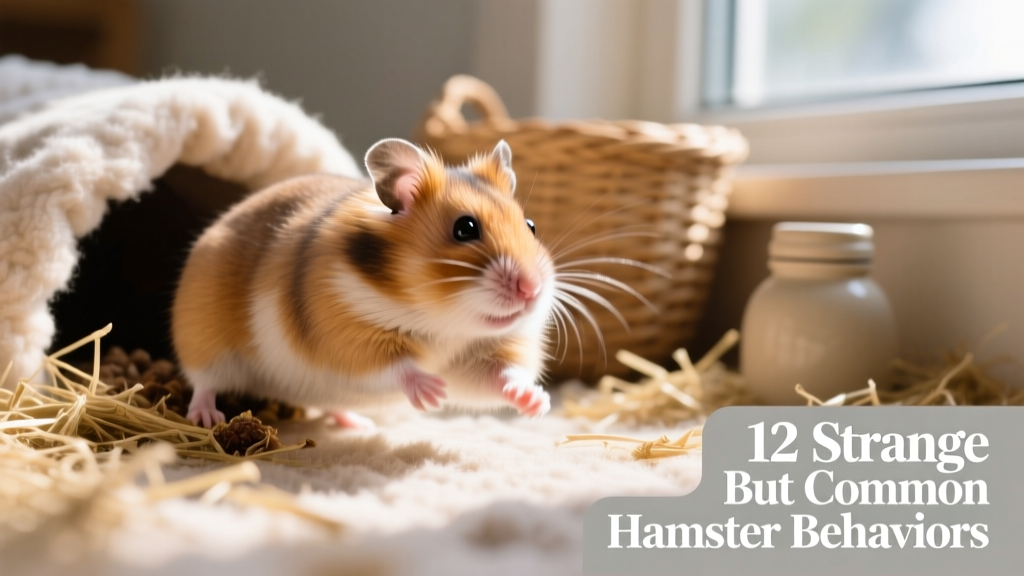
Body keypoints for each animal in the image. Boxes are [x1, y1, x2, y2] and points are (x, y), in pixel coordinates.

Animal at [172, 139, 554, 428]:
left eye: (532, 226)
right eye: (465, 228)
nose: (532, 290)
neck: (443, 323)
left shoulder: (481, 356)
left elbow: (501, 375)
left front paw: (537, 402)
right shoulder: (346, 335)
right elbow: (396, 367)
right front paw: (431, 393)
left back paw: (357, 423)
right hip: (204, 339)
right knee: (204, 382)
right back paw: (207, 418)